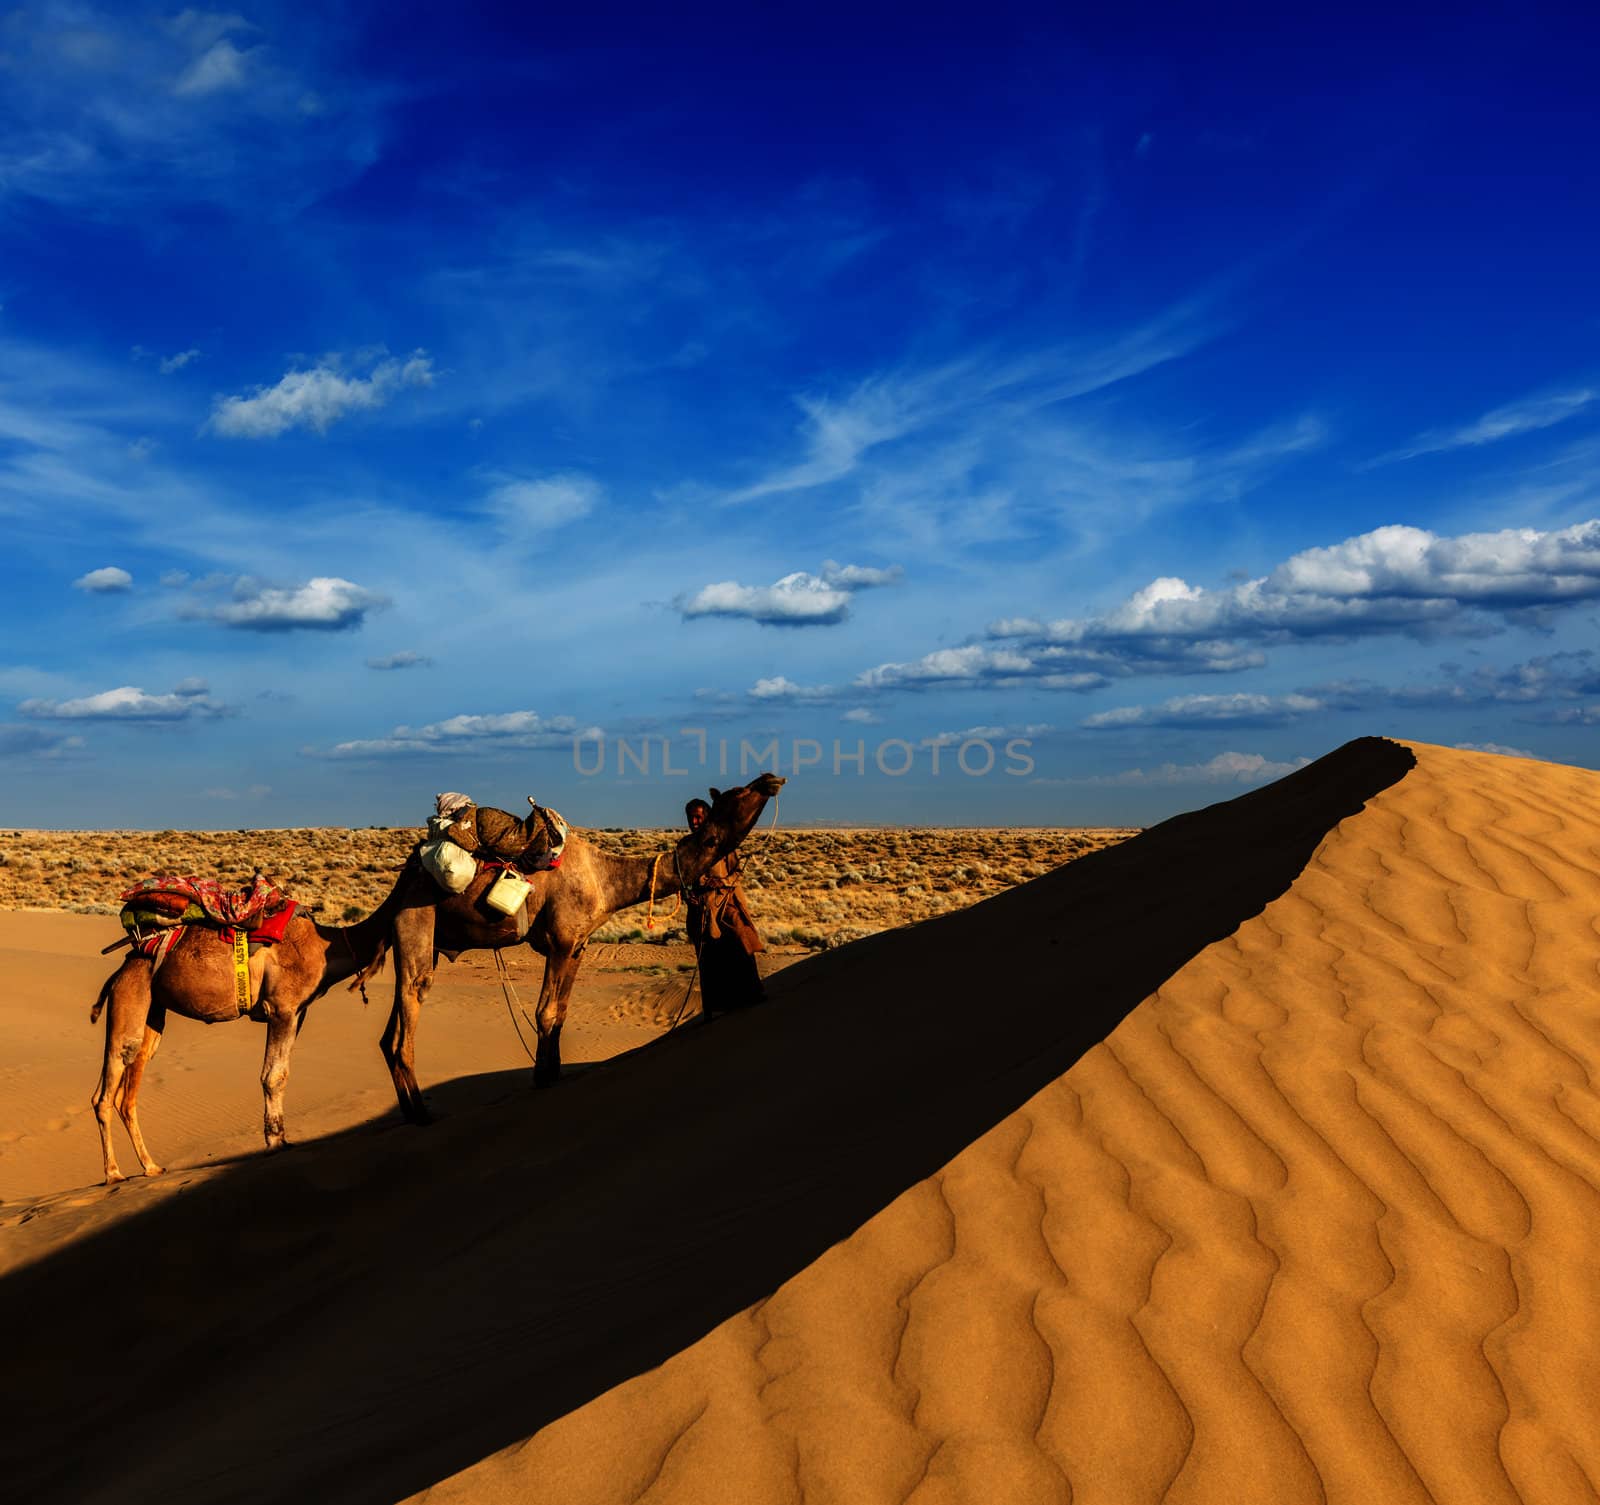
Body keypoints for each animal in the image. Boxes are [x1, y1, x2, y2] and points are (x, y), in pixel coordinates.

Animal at [90, 870, 409, 1183]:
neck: (326, 946)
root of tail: (119, 972)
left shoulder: (298, 1013)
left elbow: (280, 1073)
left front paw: (282, 1139)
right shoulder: (282, 1009)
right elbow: (273, 1077)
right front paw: (275, 1142)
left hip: (153, 1014)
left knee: (123, 1092)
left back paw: (151, 1167)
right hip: (129, 1001)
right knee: (107, 1089)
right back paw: (114, 1174)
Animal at [366, 774, 780, 1113]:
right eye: (739, 792)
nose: (771, 778)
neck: (605, 879)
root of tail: (403, 881)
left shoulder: (578, 947)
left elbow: (561, 1012)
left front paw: (554, 1073)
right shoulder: (562, 943)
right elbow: (546, 1012)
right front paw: (541, 1078)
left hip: (424, 938)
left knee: (390, 1030)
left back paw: (410, 1109)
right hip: (416, 919)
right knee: (413, 998)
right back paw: (421, 1112)